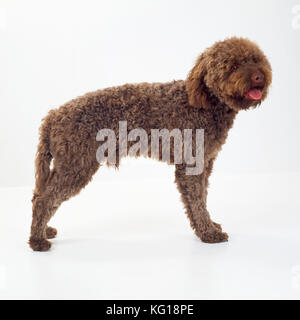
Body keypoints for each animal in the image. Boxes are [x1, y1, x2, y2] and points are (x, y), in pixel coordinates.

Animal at [29, 37, 272, 251]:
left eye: (256, 59)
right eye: (233, 65)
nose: (259, 77)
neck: (204, 103)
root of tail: (53, 116)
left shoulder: (205, 163)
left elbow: (201, 197)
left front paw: (209, 226)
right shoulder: (191, 165)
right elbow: (197, 201)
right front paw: (208, 233)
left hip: (65, 166)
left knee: (41, 197)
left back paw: (44, 230)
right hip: (75, 166)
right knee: (43, 200)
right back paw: (37, 240)